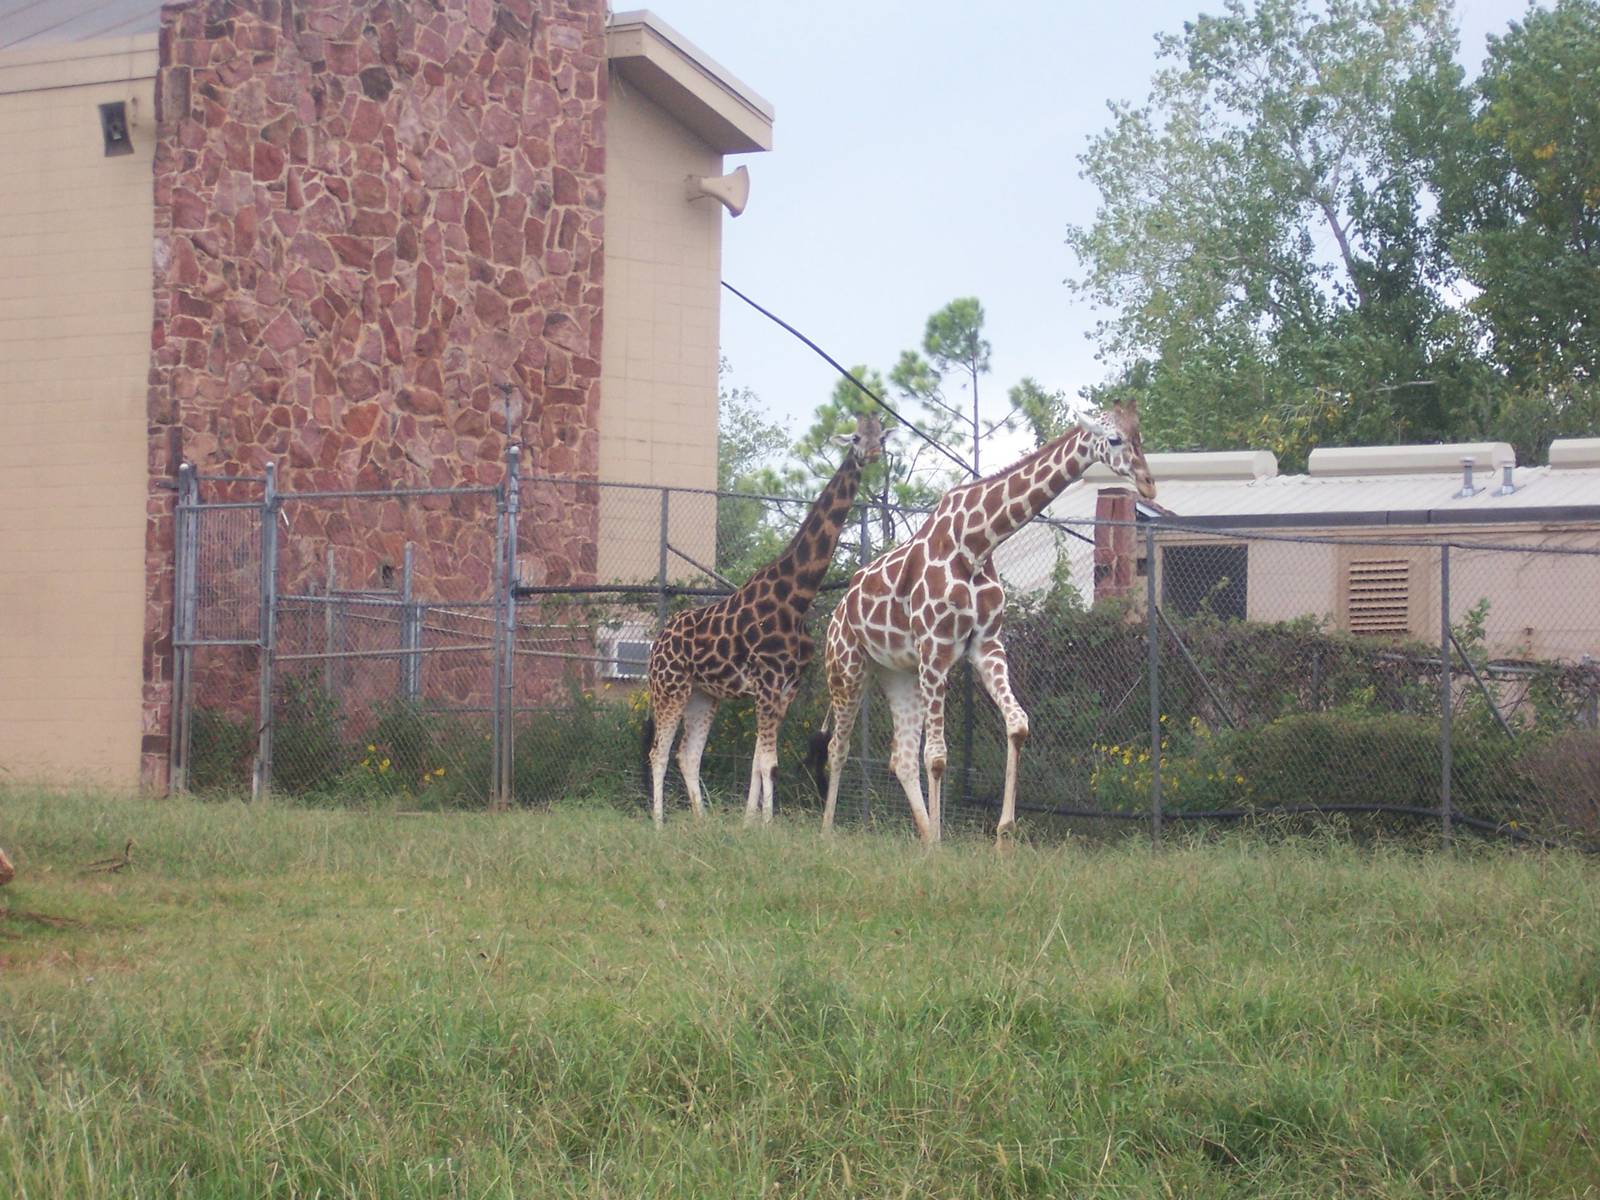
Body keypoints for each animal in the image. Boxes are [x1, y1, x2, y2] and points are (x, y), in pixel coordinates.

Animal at [643, 413, 886, 827]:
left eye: (880, 437)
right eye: (855, 436)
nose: (870, 453)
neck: (797, 596)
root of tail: (657, 642)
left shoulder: (784, 688)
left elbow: (759, 762)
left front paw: (749, 825)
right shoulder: (769, 683)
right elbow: (770, 763)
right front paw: (767, 826)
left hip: (703, 695)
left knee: (687, 755)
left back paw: (702, 822)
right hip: (669, 687)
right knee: (658, 752)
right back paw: (659, 824)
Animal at [817, 401, 1156, 846]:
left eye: (1141, 437)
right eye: (1114, 439)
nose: (1148, 485)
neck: (977, 542)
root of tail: (837, 612)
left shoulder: (986, 645)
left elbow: (1018, 725)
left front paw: (1003, 836)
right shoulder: (936, 650)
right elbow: (938, 756)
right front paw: (942, 844)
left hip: (899, 674)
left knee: (900, 757)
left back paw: (921, 835)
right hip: (848, 668)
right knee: (837, 748)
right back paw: (828, 832)